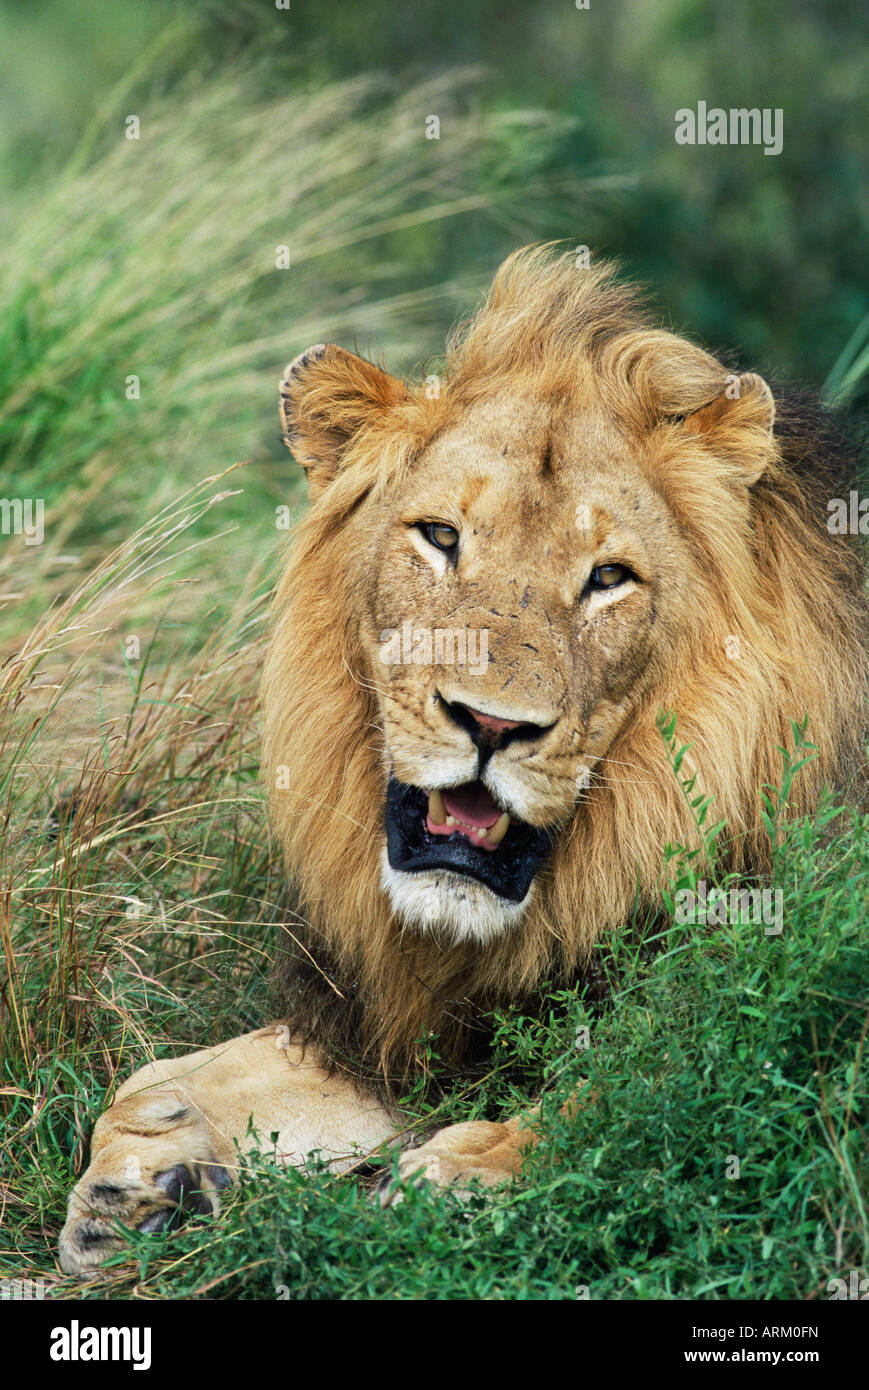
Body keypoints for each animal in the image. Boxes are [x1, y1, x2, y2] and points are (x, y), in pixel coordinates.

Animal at [59, 246, 868, 1274]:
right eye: (440, 537)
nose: (489, 725)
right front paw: (143, 1169)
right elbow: (157, 1070)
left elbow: (639, 1083)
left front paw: (469, 1172)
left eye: (608, 577)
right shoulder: (394, 1025)